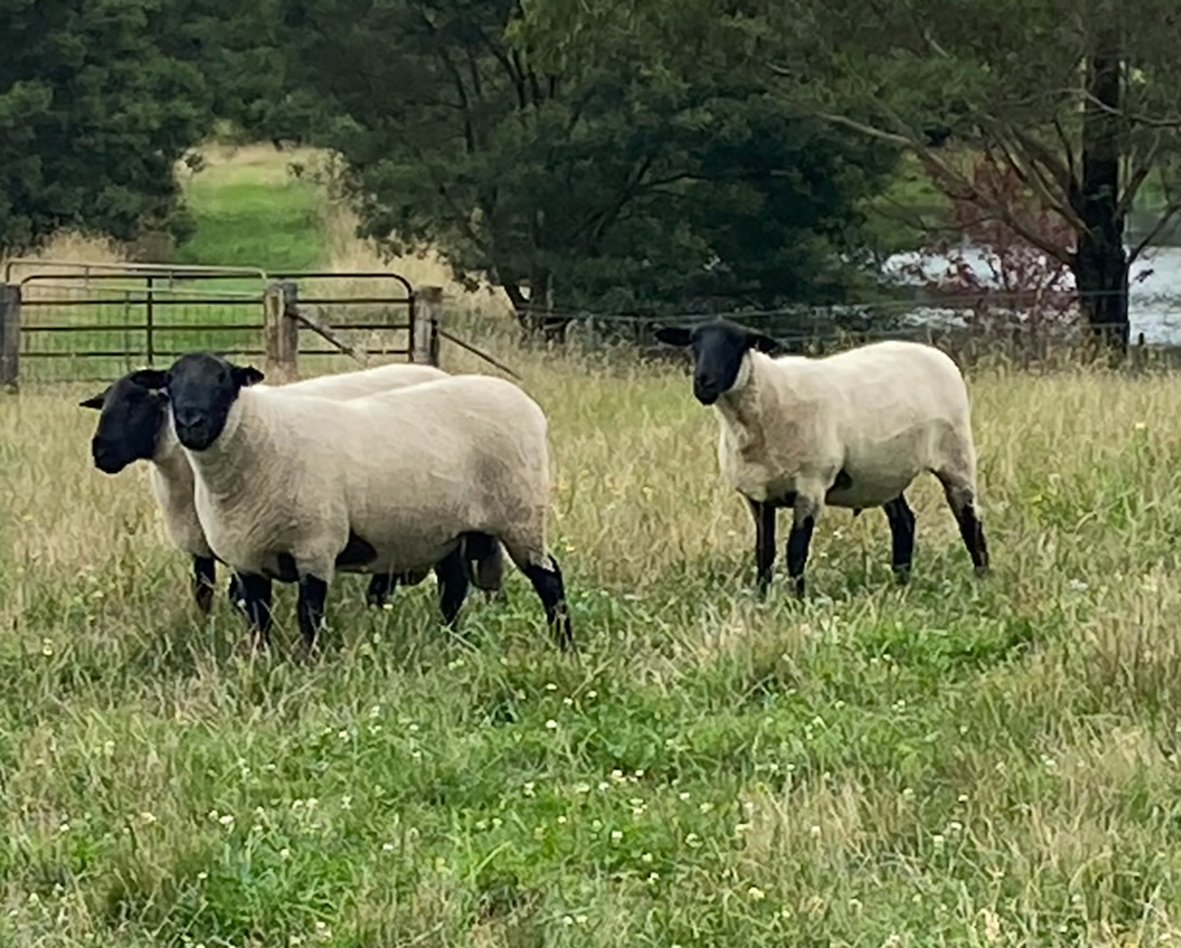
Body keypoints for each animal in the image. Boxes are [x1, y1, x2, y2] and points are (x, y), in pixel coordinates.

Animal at [80, 362, 505, 613]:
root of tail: (438, 371)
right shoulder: (205, 544)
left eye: (137, 403)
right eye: (105, 404)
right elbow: (205, 593)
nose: (99, 452)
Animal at [156, 352, 573, 652]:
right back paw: (448, 640)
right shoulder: (247, 558)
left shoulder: (316, 546)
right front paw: (262, 661)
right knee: (454, 588)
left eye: (223, 380)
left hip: (521, 515)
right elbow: (258, 618)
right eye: (170, 384)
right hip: (450, 530)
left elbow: (309, 615)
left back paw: (563, 644)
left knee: (550, 580)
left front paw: (310, 662)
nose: (190, 422)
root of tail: (526, 402)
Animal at [655, 318, 989, 597]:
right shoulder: (756, 495)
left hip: (956, 454)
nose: (704, 383)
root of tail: (935, 353)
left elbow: (795, 551)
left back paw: (983, 577)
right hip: (882, 472)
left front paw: (797, 601)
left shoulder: (811, 486)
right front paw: (761, 600)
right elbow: (764, 551)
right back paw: (901, 582)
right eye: (694, 343)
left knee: (969, 519)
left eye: (739, 344)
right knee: (904, 522)